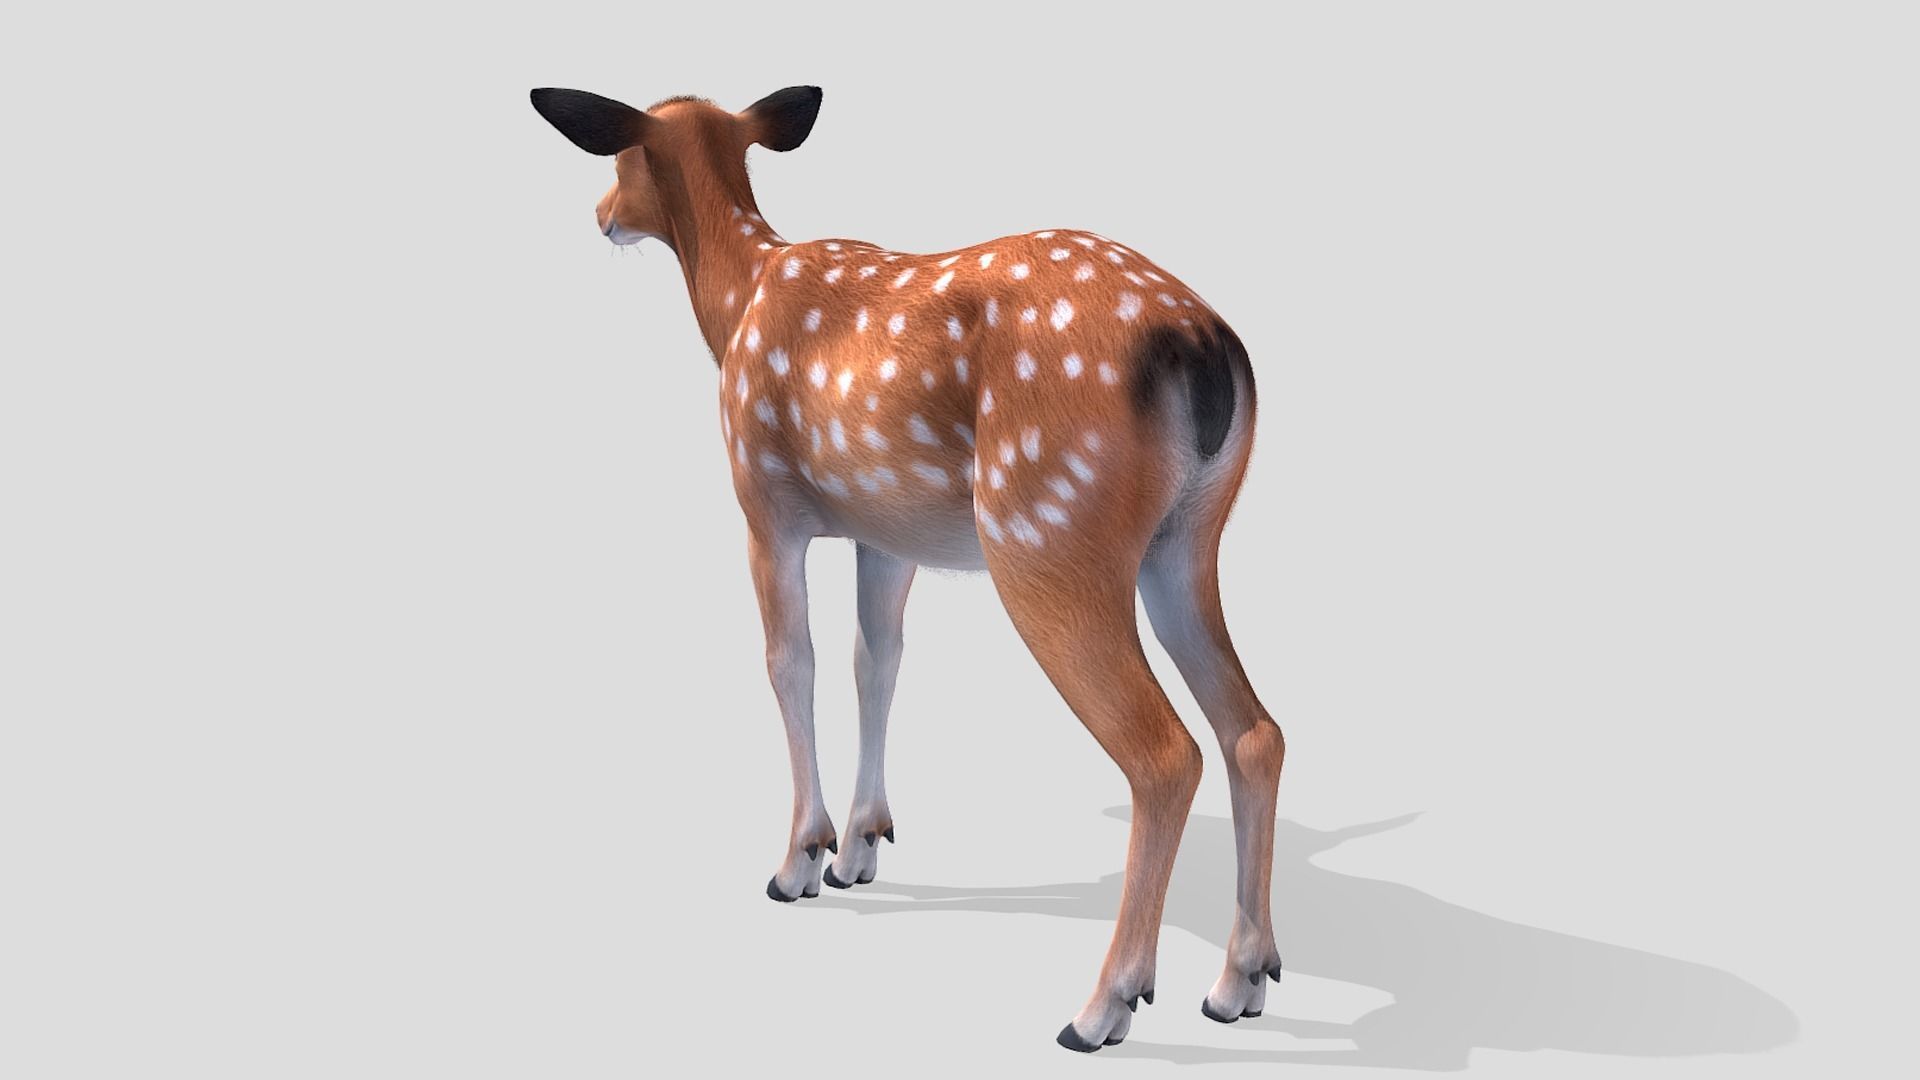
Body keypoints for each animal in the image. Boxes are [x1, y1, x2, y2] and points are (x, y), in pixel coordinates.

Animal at [531, 85, 1285, 1052]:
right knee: (1253, 731)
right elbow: (876, 661)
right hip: (1189, 541)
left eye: (619, 155)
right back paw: (1240, 981)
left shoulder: (763, 501)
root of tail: (1203, 345)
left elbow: (791, 662)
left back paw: (1103, 1006)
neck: (737, 303)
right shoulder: (885, 535)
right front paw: (861, 845)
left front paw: (799, 859)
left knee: (1164, 752)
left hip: (1047, 533)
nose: (600, 216)